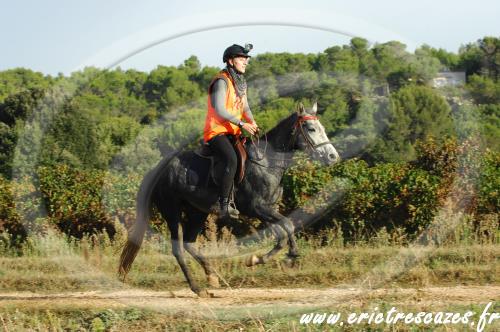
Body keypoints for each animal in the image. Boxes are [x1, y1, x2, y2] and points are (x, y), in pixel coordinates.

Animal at [119, 102, 340, 296]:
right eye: (311, 128)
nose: (333, 157)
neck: (267, 162)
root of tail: (157, 169)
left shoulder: (268, 210)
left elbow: (282, 233)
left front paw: (261, 259)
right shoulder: (257, 208)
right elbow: (287, 224)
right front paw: (286, 256)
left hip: (197, 211)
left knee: (189, 243)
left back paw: (212, 276)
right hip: (171, 210)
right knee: (178, 248)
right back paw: (197, 288)